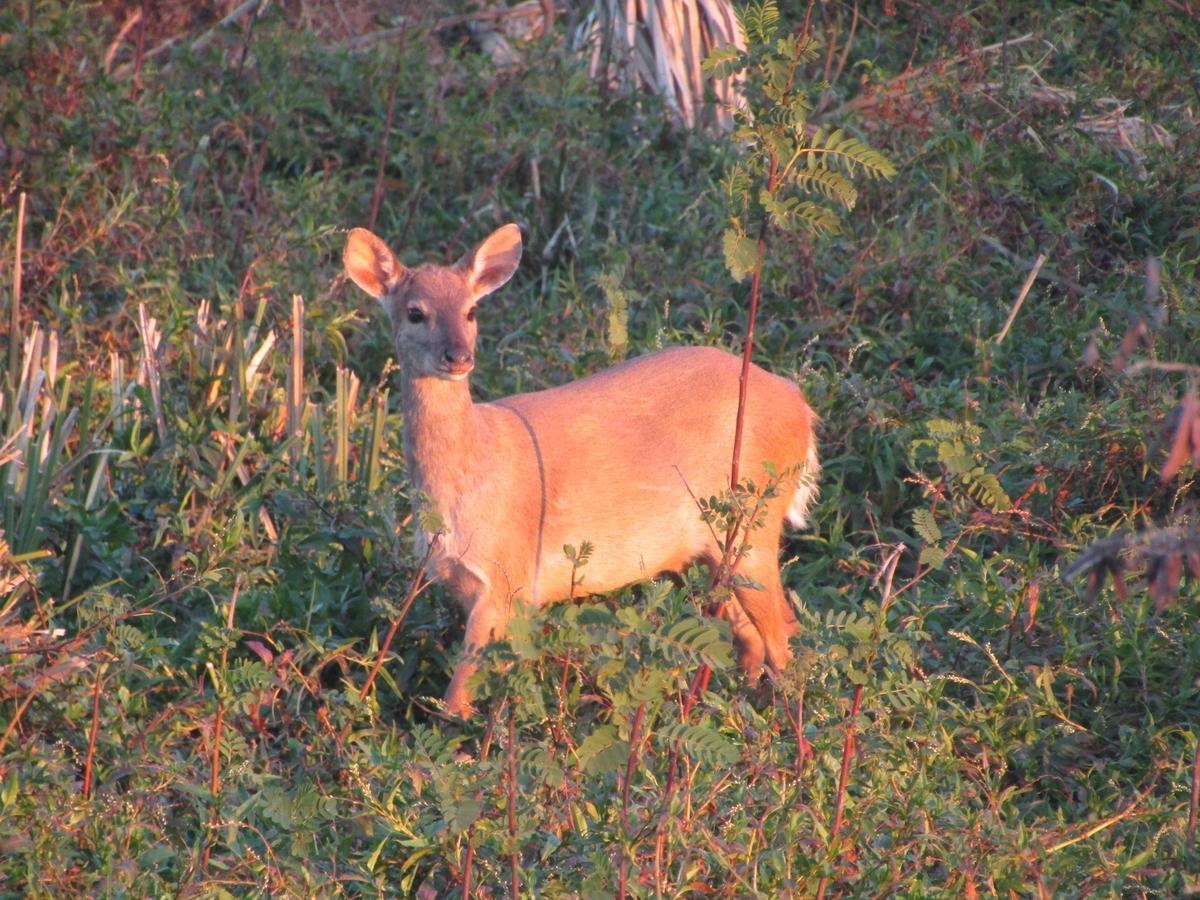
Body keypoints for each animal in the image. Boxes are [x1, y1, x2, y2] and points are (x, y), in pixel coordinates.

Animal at [343, 222, 820, 715]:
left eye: (471, 309)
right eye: (415, 313)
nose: (458, 357)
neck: (467, 475)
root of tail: (801, 408)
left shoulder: (507, 577)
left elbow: (456, 699)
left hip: (754, 523)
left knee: (785, 637)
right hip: (710, 549)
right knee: (754, 636)